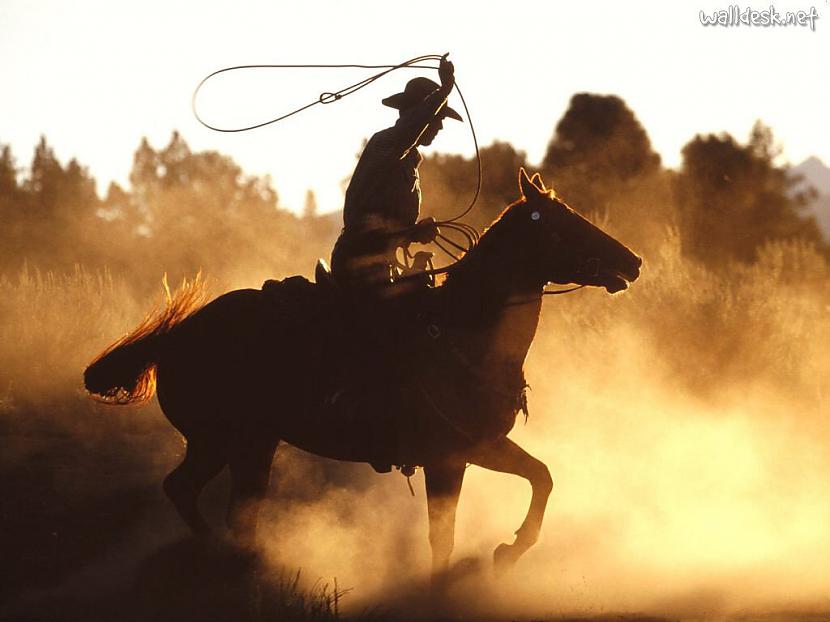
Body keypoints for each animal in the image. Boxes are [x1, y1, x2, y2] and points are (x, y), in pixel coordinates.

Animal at [84, 169, 644, 580]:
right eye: (565, 220)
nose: (633, 261)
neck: (465, 334)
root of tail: (177, 335)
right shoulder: (449, 457)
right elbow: (448, 530)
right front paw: (488, 560)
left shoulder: (479, 448)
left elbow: (540, 476)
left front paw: (508, 550)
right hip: (222, 441)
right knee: (190, 493)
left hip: (252, 444)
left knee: (233, 508)